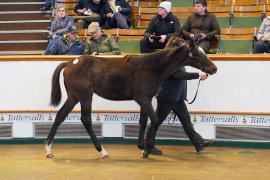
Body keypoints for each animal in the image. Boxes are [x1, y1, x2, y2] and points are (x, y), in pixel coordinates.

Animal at [44, 39, 217, 158]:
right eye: (197, 54)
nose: (213, 68)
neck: (151, 67)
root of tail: (70, 63)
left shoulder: (145, 100)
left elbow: (143, 122)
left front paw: (142, 146)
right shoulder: (143, 99)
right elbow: (155, 120)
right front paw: (148, 149)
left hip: (74, 97)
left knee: (60, 115)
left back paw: (48, 148)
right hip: (85, 96)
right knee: (86, 120)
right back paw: (102, 150)